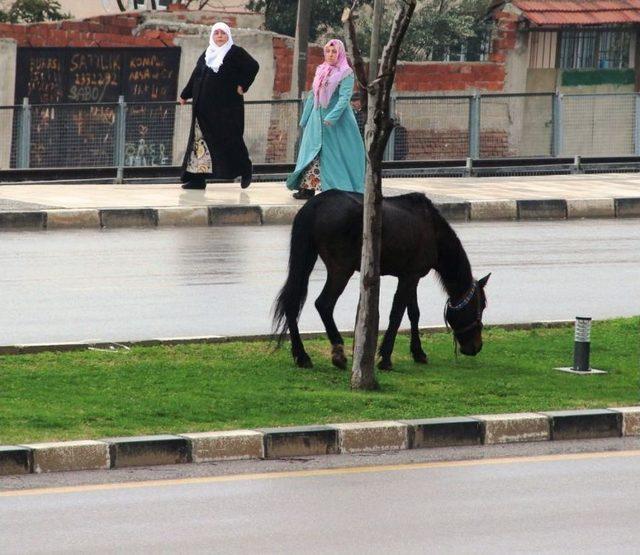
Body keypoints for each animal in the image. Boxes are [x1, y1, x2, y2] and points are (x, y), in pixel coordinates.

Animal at [272, 190, 490, 370]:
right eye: (481, 306)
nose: (477, 347)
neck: (433, 230)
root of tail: (315, 204)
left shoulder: (410, 276)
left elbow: (414, 313)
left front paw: (418, 352)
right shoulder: (410, 277)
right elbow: (397, 314)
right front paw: (385, 357)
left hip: (307, 259)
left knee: (291, 303)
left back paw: (301, 356)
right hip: (340, 269)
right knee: (323, 304)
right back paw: (338, 353)